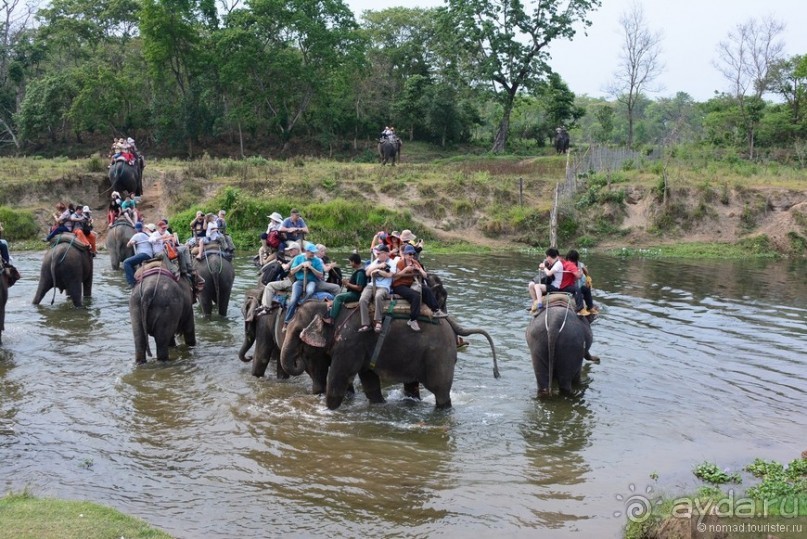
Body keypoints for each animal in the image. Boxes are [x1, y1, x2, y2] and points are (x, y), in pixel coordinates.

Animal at [282, 302, 498, 412]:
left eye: (298, 332)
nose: (298, 358)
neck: (331, 305)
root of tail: (451, 322)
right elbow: (369, 380)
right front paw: (379, 405)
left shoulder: (350, 343)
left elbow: (338, 377)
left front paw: (328, 411)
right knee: (413, 386)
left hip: (439, 355)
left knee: (440, 390)